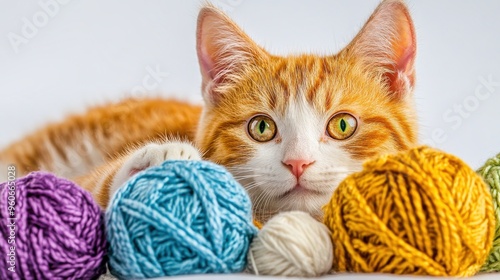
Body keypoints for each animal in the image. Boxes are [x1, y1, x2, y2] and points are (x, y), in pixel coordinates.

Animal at [0, 0, 418, 223]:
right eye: (261, 127)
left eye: (343, 124)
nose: (298, 163)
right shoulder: (86, 181)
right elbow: (91, 187)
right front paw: (160, 160)